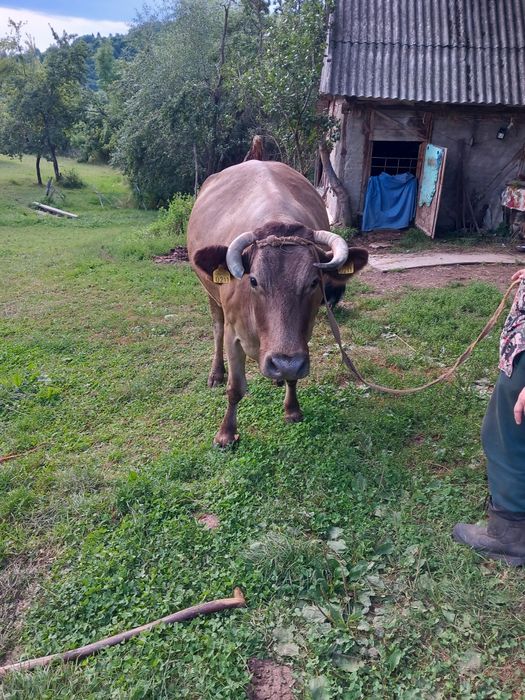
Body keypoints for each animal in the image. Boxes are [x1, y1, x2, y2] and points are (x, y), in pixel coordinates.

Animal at [187, 159, 368, 446]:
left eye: (314, 282)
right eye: (253, 281)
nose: (282, 364)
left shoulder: (303, 336)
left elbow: (293, 376)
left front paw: (292, 409)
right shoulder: (233, 334)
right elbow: (235, 388)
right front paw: (226, 433)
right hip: (210, 295)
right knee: (216, 329)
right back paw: (216, 373)